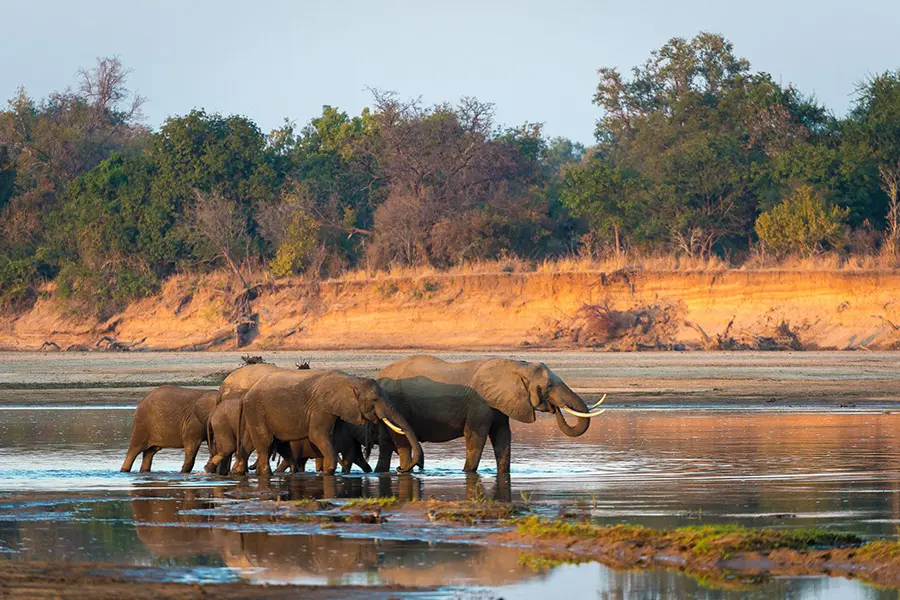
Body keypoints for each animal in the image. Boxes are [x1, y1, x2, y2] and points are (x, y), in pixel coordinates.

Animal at [236, 369, 422, 476]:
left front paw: (331, 470)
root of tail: (247, 393)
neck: (351, 381)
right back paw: (265, 474)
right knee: (265, 443)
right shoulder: (321, 406)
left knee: (276, 444)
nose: (399, 470)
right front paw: (330, 471)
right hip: (256, 410)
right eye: (375, 399)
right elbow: (317, 435)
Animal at [374, 355, 606, 473]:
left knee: (387, 444)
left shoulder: (501, 403)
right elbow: (475, 437)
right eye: (549, 386)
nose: (554, 408)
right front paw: (468, 473)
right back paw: (403, 470)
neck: (516, 366)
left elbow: (503, 436)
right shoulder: (480, 403)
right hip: (396, 401)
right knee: (400, 442)